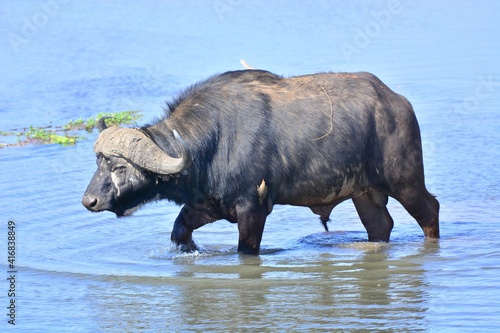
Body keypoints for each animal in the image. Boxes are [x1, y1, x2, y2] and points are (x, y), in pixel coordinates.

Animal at [83, 68, 442, 253]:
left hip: (405, 182)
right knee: (381, 226)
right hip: (364, 193)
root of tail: (398, 102)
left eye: (119, 167)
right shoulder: (209, 204)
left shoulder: (252, 209)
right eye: (98, 162)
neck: (214, 141)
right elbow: (180, 230)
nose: (90, 201)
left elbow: (246, 248)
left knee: (430, 211)